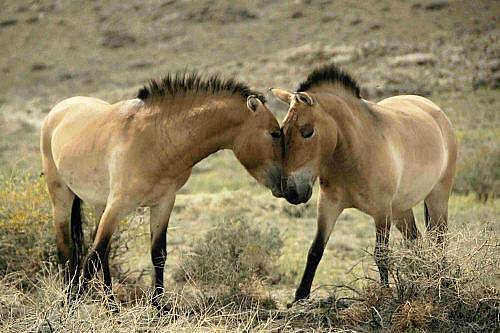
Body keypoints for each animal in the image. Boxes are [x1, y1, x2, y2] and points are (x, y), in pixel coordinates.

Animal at [41, 70, 284, 308]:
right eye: (275, 133)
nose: (287, 187)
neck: (155, 140)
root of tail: (58, 109)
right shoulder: (118, 205)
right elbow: (92, 258)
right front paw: (72, 306)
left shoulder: (163, 203)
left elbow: (157, 254)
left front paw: (158, 307)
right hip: (61, 196)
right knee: (66, 248)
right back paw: (71, 297)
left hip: (100, 204)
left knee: (102, 251)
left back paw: (110, 304)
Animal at [272, 63, 458, 302]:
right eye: (281, 132)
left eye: (307, 131)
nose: (292, 191)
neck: (353, 151)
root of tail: (436, 111)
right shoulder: (328, 205)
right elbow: (315, 250)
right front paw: (300, 296)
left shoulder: (381, 212)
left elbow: (381, 255)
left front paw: (384, 294)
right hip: (401, 210)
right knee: (415, 243)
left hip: (437, 198)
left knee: (440, 241)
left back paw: (443, 283)